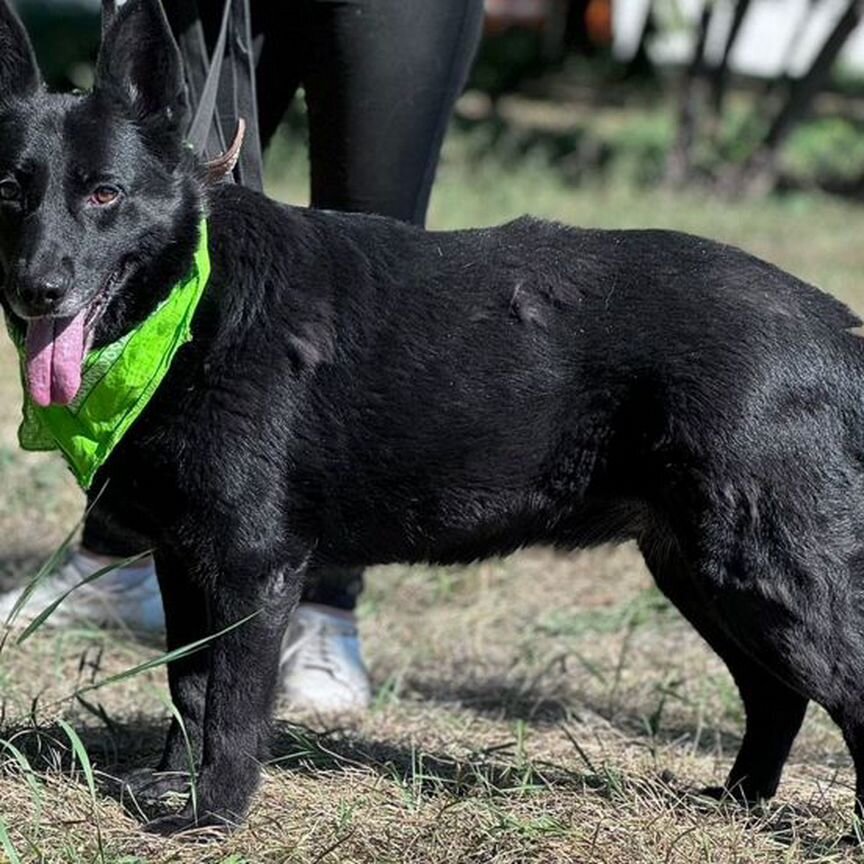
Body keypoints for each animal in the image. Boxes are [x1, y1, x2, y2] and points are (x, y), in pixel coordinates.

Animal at [1, 0, 864, 836]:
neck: (190, 306)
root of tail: (835, 324)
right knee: (777, 697)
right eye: (11, 191)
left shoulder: (252, 569)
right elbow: (189, 688)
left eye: (104, 193)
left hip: (762, 576)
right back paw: (739, 801)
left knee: (841, 691)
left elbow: (233, 713)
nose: (36, 289)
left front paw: (212, 817)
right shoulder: (185, 561)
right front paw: (173, 783)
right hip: (701, 575)